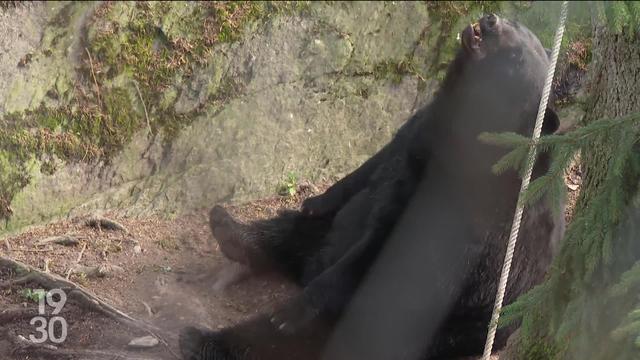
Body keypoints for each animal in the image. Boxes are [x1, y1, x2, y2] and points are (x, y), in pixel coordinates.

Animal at [181, 14, 564, 360]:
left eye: (517, 57)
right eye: (517, 24)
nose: (490, 20)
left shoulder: (465, 210)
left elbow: (386, 257)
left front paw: (289, 312)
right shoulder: (421, 131)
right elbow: (376, 162)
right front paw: (316, 199)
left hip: (452, 323)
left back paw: (206, 339)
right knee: (295, 229)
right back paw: (231, 229)